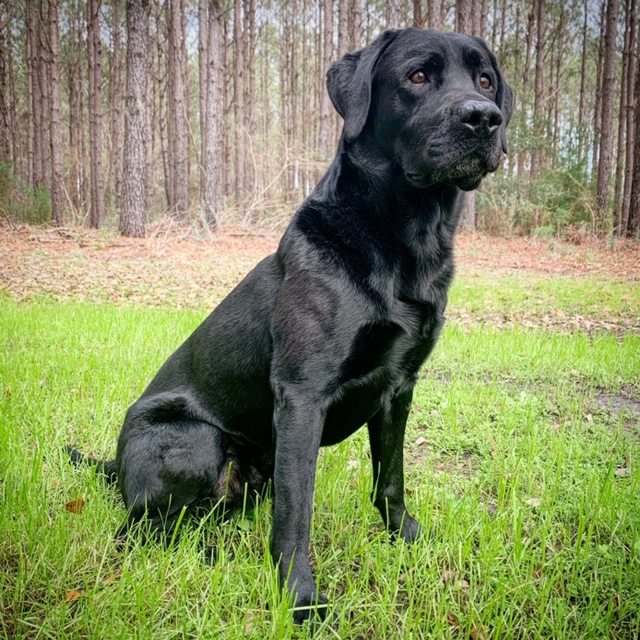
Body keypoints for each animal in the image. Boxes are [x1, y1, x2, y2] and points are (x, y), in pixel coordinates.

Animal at [69, 27, 510, 624]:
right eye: (418, 76)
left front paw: (410, 539)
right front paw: (300, 599)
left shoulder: (400, 387)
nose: (485, 118)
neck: (406, 242)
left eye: (485, 80)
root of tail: (113, 464)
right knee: (141, 530)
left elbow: (390, 481)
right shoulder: (302, 395)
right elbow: (296, 515)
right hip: (196, 441)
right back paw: (210, 557)